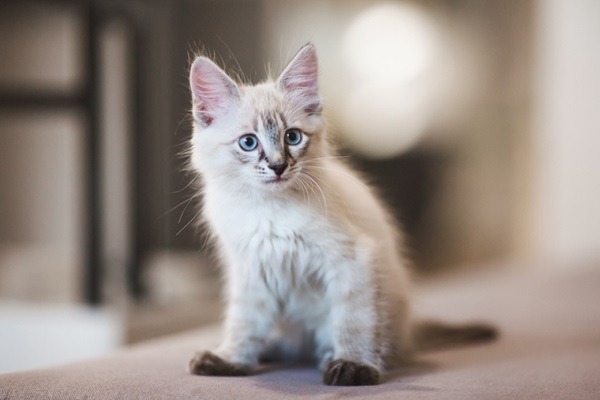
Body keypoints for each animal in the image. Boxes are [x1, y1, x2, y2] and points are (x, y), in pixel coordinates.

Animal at [185, 43, 494, 384]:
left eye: (292, 137)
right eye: (248, 143)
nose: (278, 166)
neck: (269, 209)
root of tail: (411, 332)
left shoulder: (353, 259)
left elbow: (353, 321)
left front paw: (353, 366)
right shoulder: (250, 271)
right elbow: (244, 323)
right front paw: (231, 359)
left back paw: (329, 357)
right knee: (287, 345)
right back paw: (266, 351)